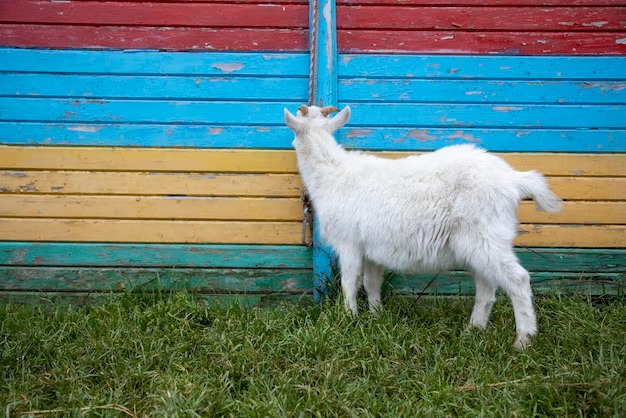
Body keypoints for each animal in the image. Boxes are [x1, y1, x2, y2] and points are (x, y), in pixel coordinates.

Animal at [284, 104, 560, 350]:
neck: (332, 173)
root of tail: (513, 181)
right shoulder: (371, 248)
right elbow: (372, 283)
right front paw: (376, 316)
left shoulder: (348, 242)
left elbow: (349, 283)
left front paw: (349, 319)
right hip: (479, 244)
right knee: (487, 286)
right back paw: (473, 330)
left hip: (485, 236)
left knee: (518, 279)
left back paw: (523, 340)